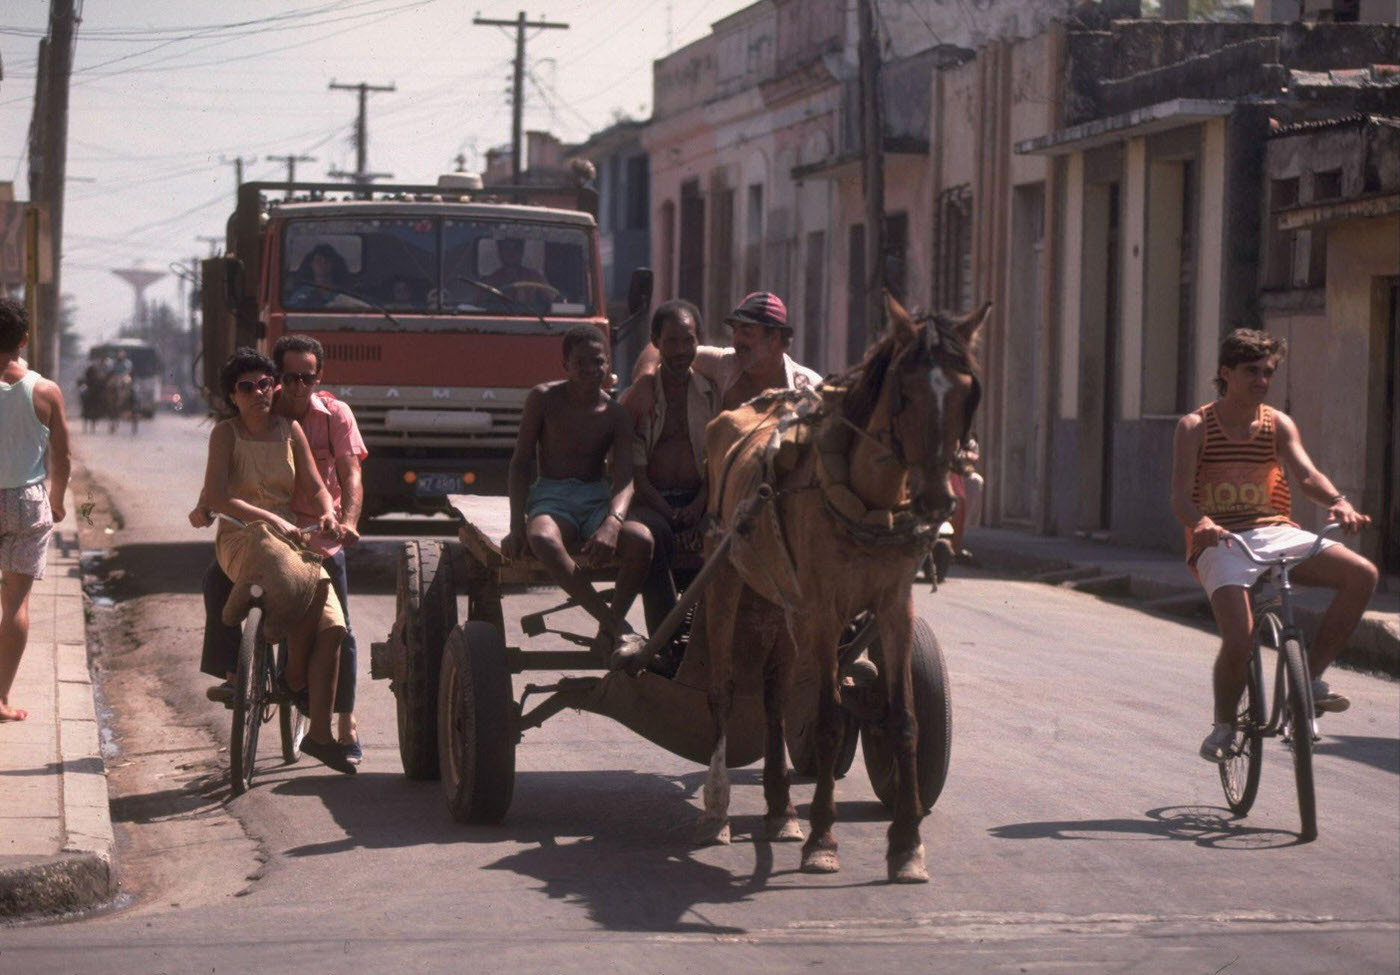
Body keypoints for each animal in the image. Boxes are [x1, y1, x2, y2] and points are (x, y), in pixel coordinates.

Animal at [697, 289, 985, 885]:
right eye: (903, 390)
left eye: (968, 390)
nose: (936, 500)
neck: (869, 500)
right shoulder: (825, 610)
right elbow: (829, 720)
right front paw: (823, 841)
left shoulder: (893, 607)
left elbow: (904, 720)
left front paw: (907, 845)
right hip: (728, 576)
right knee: (724, 687)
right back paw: (717, 812)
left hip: (782, 601)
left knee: (776, 694)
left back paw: (781, 811)